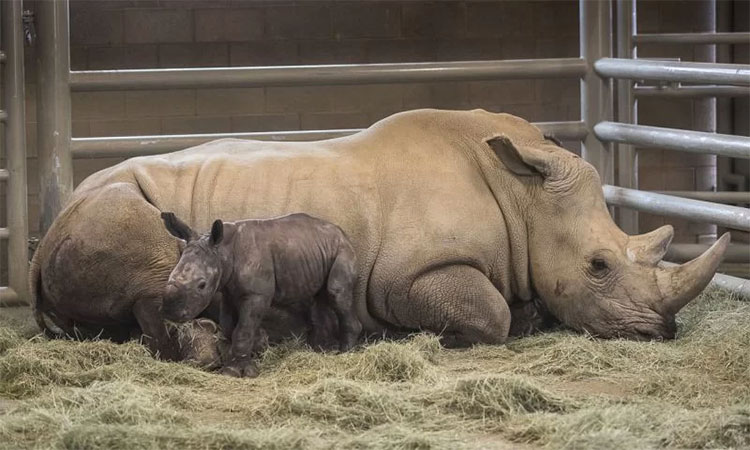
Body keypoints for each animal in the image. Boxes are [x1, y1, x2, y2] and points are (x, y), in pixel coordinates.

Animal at [160, 211, 362, 376]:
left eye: (201, 285)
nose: (170, 312)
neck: (223, 251)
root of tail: (342, 233)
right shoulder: (228, 292)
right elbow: (229, 326)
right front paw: (256, 347)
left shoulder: (257, 295)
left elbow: (242, 329)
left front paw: (236, 372)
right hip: (315, 250)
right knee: (318, 298)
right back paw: (319, 351)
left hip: (343, 250)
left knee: (336, 293)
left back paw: (345, 353)